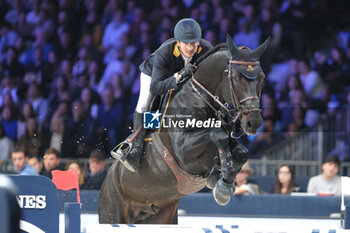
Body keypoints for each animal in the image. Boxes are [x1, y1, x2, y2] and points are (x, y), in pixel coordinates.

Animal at [98, 34, 270, 224]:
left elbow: (241, 152)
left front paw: (221, 182)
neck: (198, 98)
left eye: (261, 77)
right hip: (112, 211)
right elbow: (218, 135)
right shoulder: (185, 152)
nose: (254, 122)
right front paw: (222, 188)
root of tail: (107, 179)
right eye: (236, 77)